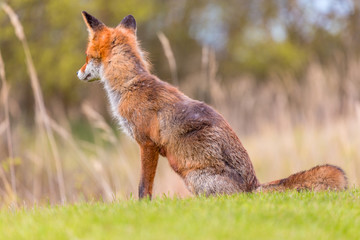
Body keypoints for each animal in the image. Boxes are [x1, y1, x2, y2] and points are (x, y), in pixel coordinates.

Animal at [77, 11, 348, 199]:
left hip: (193, 176)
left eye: (87, 56)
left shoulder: (147, 144)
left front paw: (143, 208)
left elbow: (144, 187)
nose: (77, 73)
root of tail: (253, 186)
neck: (130, 85)